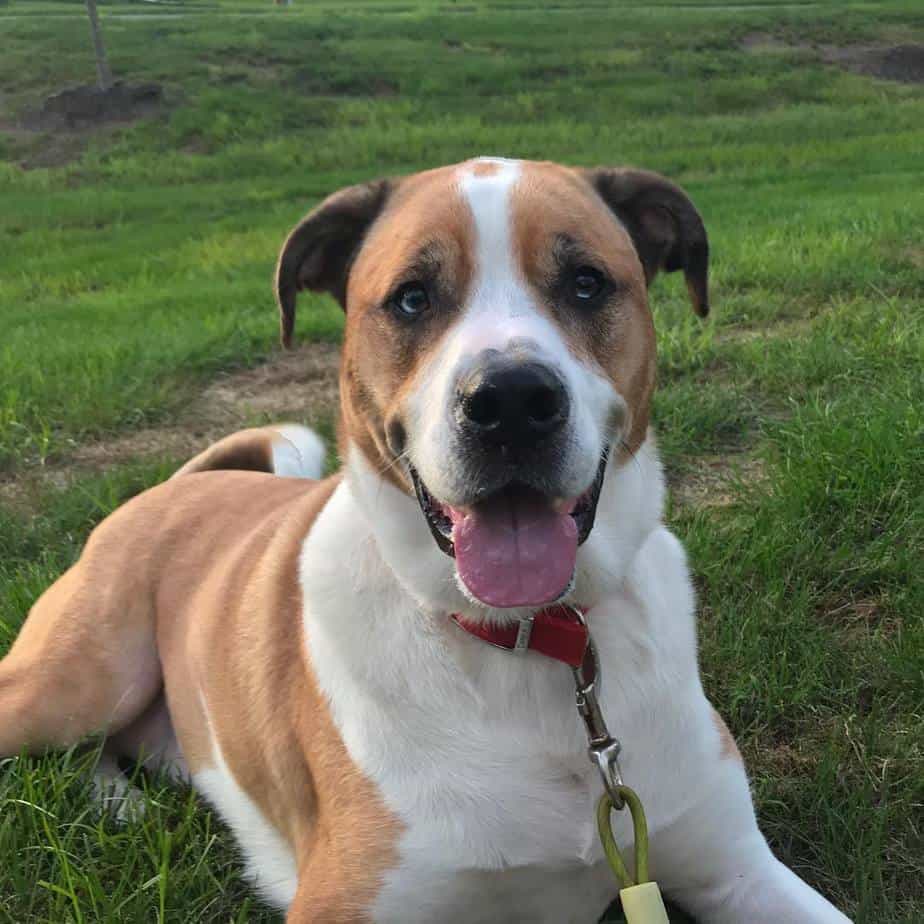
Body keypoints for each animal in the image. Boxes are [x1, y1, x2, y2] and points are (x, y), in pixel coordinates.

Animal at [0, 159, 852, 924]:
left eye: (586, 283)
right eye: (411, 298)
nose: (510, 402)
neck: (530, 643)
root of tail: (175, 484)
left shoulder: (736, 869)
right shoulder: (348, 903)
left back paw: (124, 804)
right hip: (77, 681)